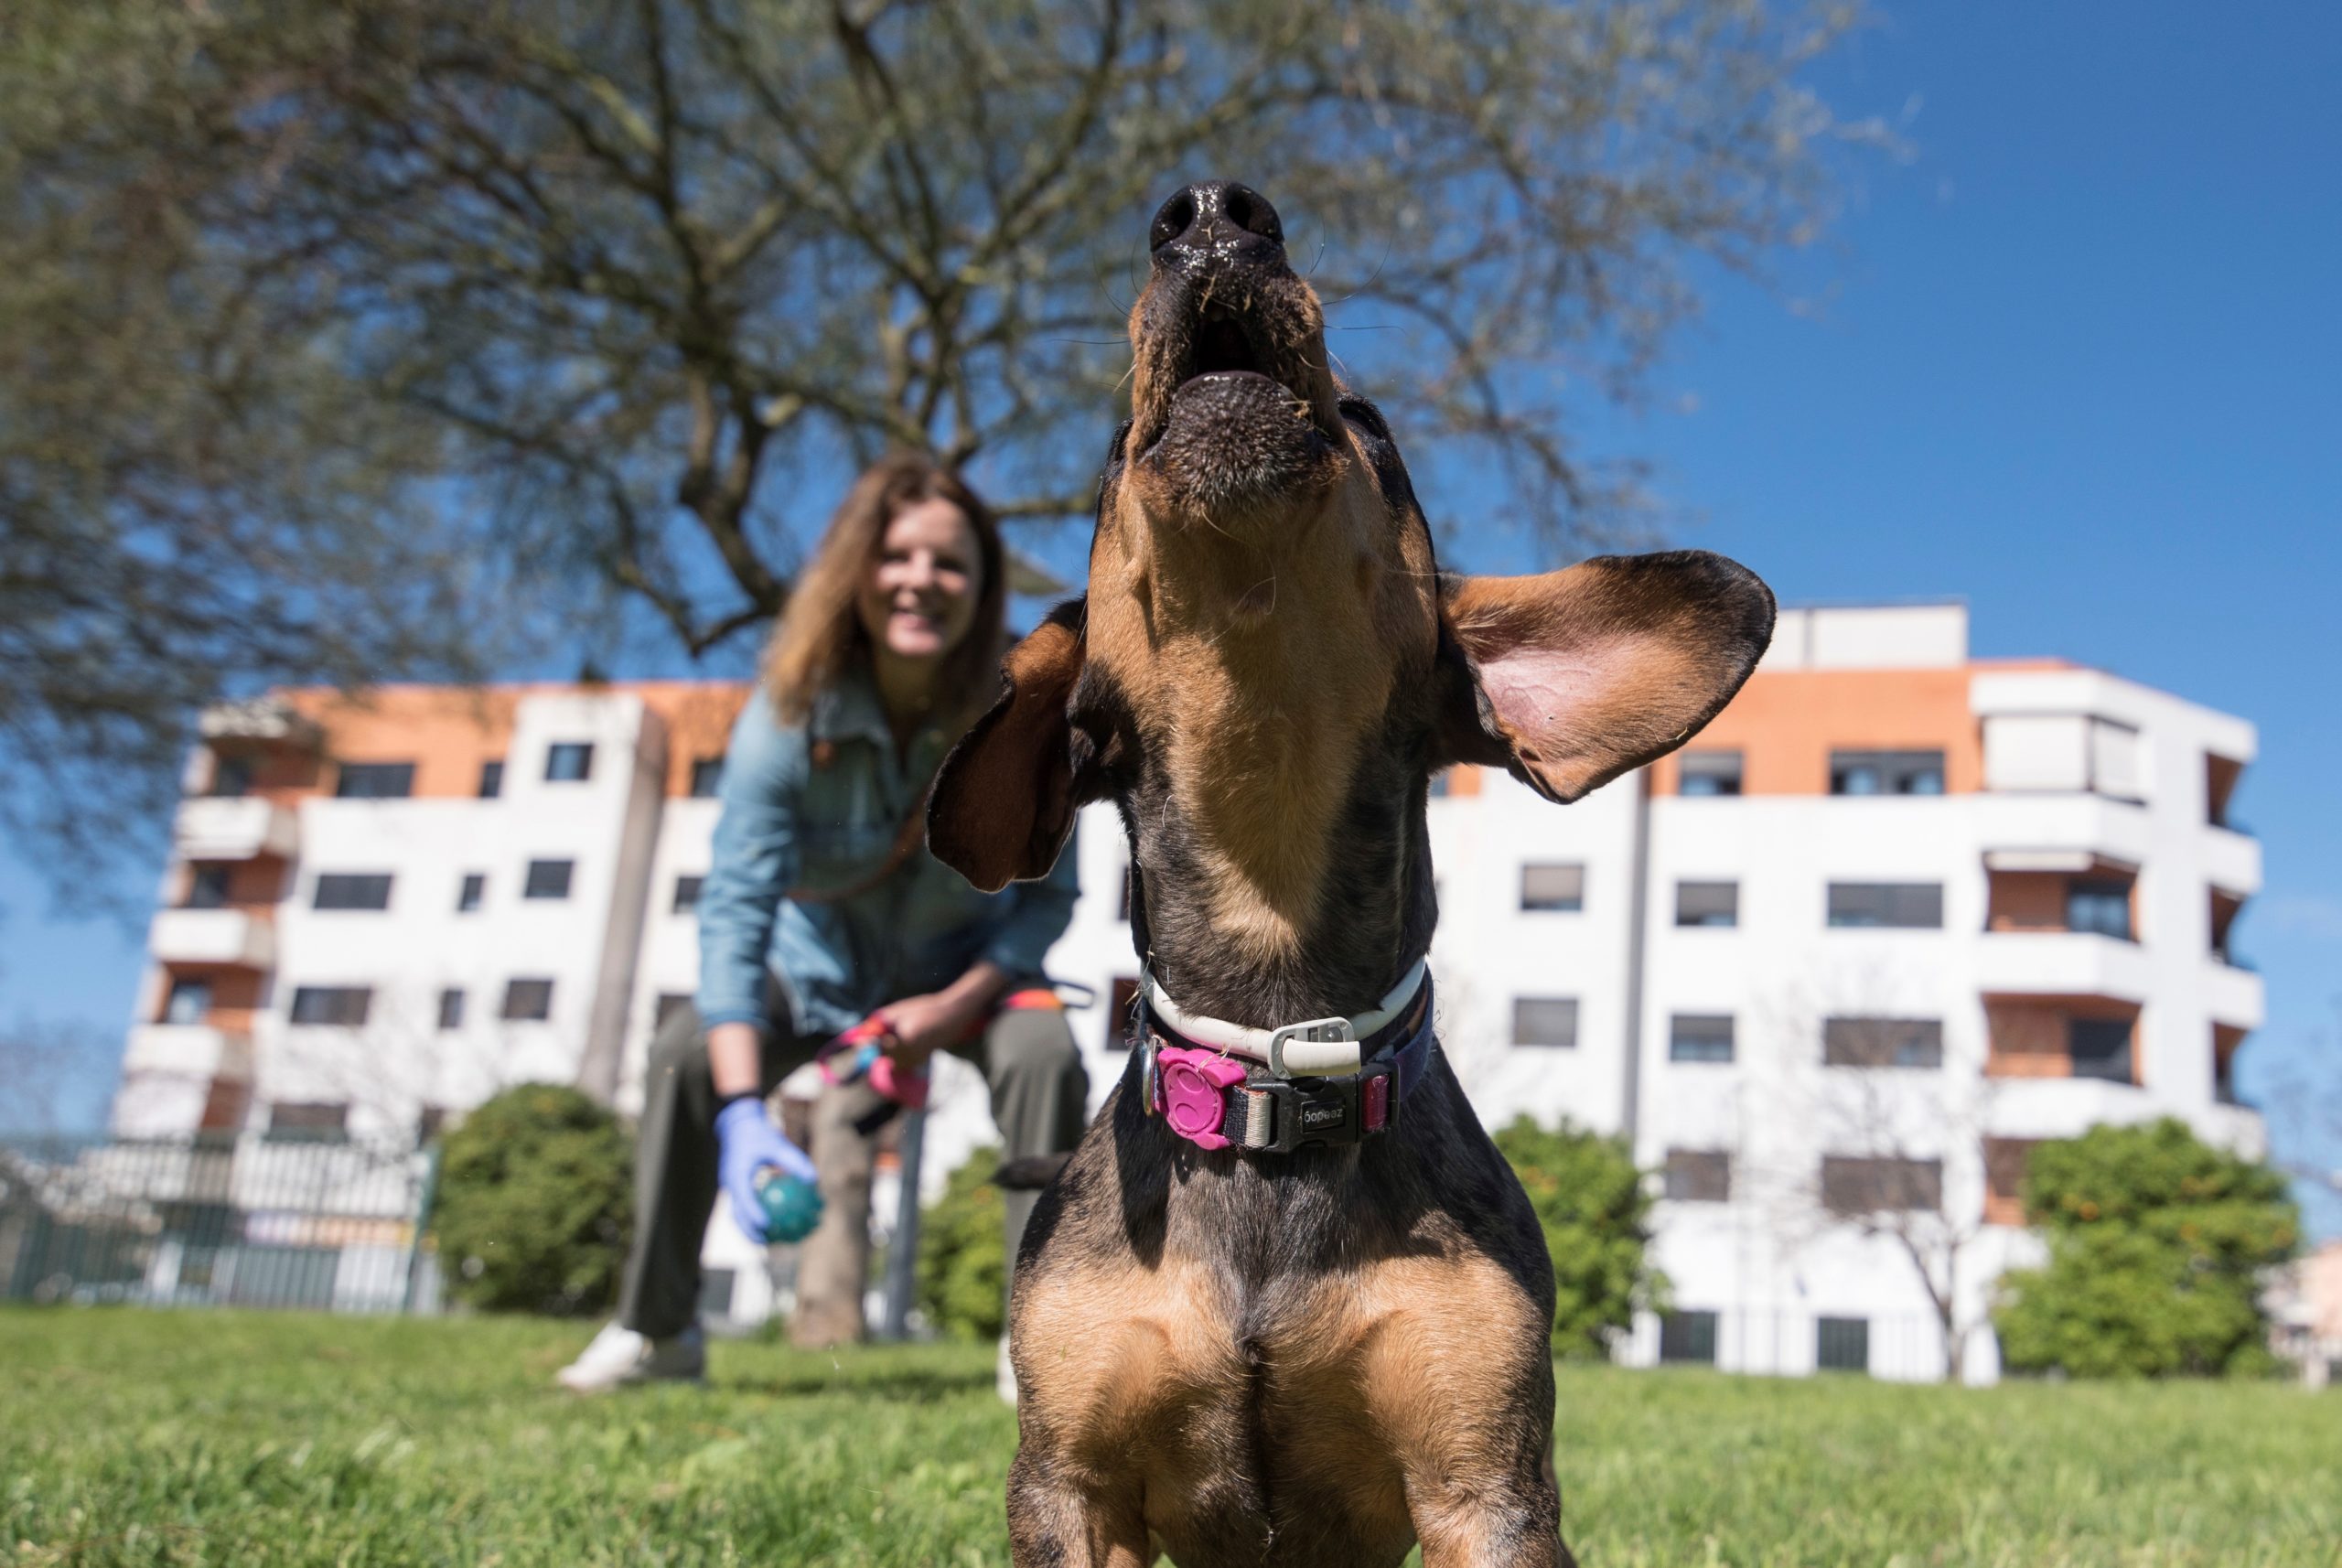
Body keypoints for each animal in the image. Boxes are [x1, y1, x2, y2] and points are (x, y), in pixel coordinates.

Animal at [922, 181, 1761, 1568]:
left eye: (1375, 431)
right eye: (1111, 453)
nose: (1212, 210)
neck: (1273, 1074)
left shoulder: (1487, 1486)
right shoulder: (1065, 1482)